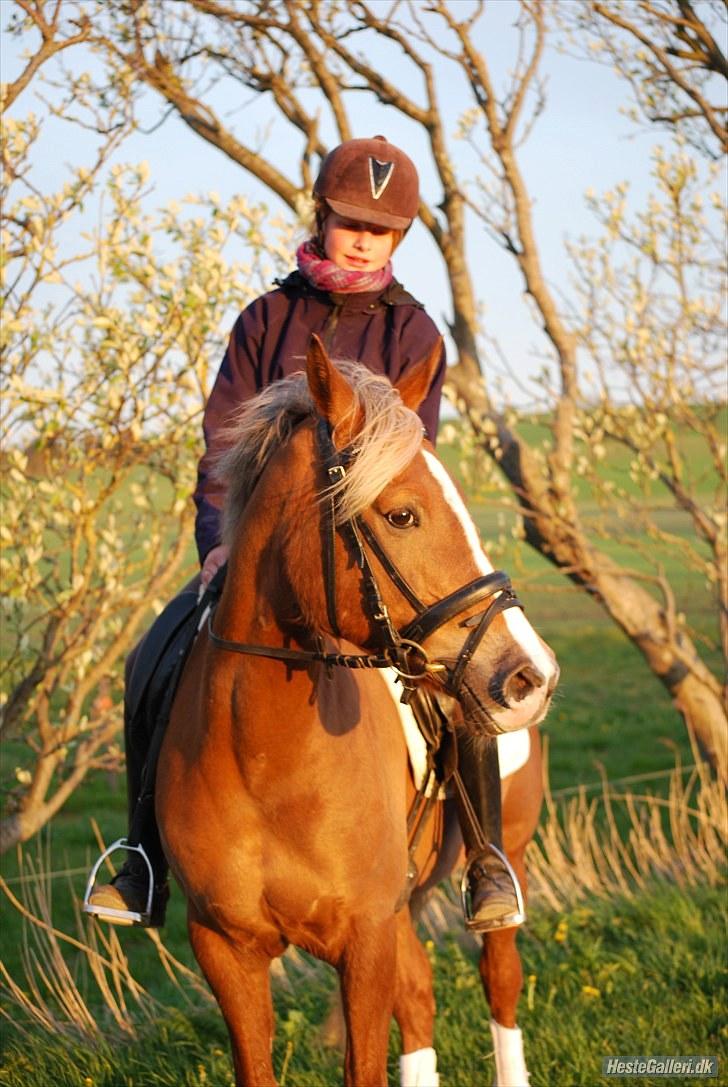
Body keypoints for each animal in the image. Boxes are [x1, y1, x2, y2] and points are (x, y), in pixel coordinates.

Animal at [158, 334, 560, 1082]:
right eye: (402, 514)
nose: (532, 674)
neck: (265, 760)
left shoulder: (365, 938)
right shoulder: (225, 949)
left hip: (506, 855)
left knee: (500, 977)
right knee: (421, 994)